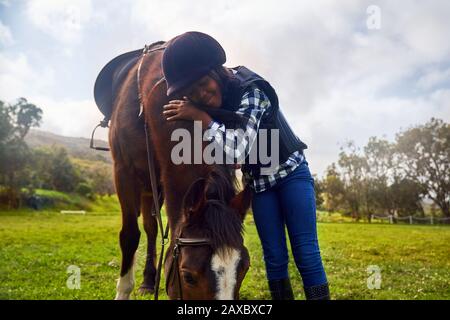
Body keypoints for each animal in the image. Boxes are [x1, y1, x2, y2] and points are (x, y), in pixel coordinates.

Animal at [93, 40, 251, 300]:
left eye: (244, 267)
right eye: (188, 276)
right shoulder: (123, 171)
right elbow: (129, 235)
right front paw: (124, 290)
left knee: (151, 228)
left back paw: (149, 280)